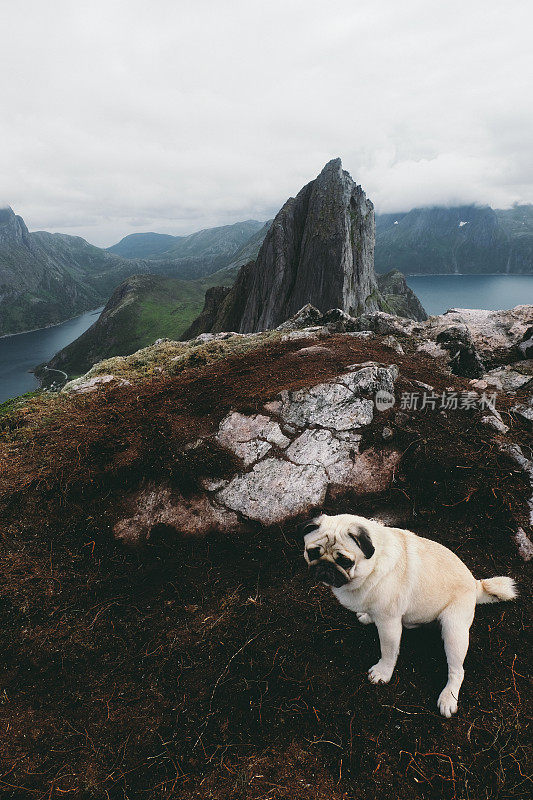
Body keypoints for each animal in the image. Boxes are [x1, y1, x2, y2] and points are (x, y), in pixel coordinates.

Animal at [304, 516, 516, 716]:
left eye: (344, 561)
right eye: (312, 552)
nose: (325, 566)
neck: (371, 567)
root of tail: (475, 584)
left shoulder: (389, 624)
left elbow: (388, 652)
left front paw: (382, 673)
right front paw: (366, 616)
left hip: (454, 631)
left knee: (457, 671)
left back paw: (448, 698)